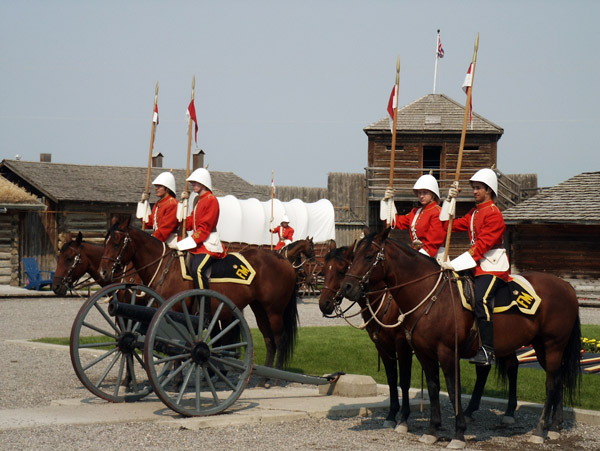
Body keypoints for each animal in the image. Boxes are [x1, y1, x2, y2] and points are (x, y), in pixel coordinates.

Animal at [99, 216, 302, 374]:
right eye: (105, 242)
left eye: (116, 242)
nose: (103, 272)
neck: (165, 267)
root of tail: (283, 260)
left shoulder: (176, 313)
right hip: (259, 309)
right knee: (269, 340)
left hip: (274, 311)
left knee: (280, 339)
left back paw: (274, 376)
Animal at [318, 240, 520, 434]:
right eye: (324, 270)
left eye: (341, 270)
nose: (324, 304)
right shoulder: (383, 346)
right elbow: (392, 379)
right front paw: (391, 415)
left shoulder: (403, 345)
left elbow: (404, 381)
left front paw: (403, 419)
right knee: (496, 367)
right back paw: (472, 411)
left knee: (510, 367)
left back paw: (509, 413)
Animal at [340, 230, 580, 448]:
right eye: (353, 257)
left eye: (369, 256)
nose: (346, 288)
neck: (429, 295)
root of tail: (566, 286)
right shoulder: (424, 354)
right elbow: (434, 388)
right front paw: (432, 429)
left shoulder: (446, 353)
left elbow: (452, 389)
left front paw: (458, 434)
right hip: (541, 347)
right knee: (557, 379)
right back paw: (555, 427)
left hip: (553, 345)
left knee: (550, 383)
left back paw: (540, 430)